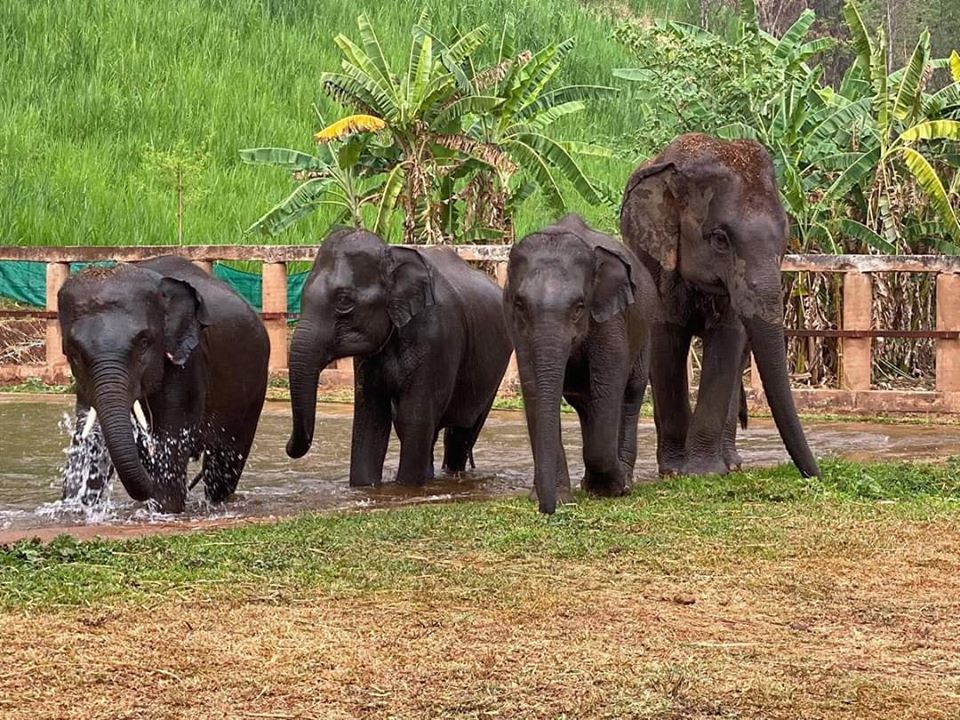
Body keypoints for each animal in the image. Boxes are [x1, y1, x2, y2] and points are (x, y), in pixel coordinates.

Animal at [57, 255, 268, 512]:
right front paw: (74, 508)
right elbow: (90, 440)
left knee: (223, 466)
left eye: (144, 343)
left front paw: (163, 509)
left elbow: (168, 449)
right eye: (73, 352)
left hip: (253, 390)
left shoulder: (186, 365)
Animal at [284, 229, 512, 490]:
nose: (288, 447)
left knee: (461, 433)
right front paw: (365, 488)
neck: (392, 255)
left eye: (344, 302)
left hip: (494, 372)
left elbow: (414, 417)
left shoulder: (436, 336)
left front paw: (407, 488)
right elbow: (371, 420)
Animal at [506, 212, 656, 512]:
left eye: (579, 307)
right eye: (519, 304)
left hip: (644, 329)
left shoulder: (611, 319)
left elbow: (608, 385)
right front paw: (560, 497)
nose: (546, 510)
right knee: (588, 406)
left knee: (630, 394)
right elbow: (533, 390)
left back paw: (623, 479)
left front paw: (613, 488)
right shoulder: (518, 330)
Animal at [624, 132, 816, 480]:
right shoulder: (656, 260)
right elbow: (666, 339)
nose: (814, 474)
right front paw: (675, 471)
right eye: (719, 239)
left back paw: (732, 464)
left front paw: (704, 472)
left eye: (785, 239)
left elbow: (728, 340)